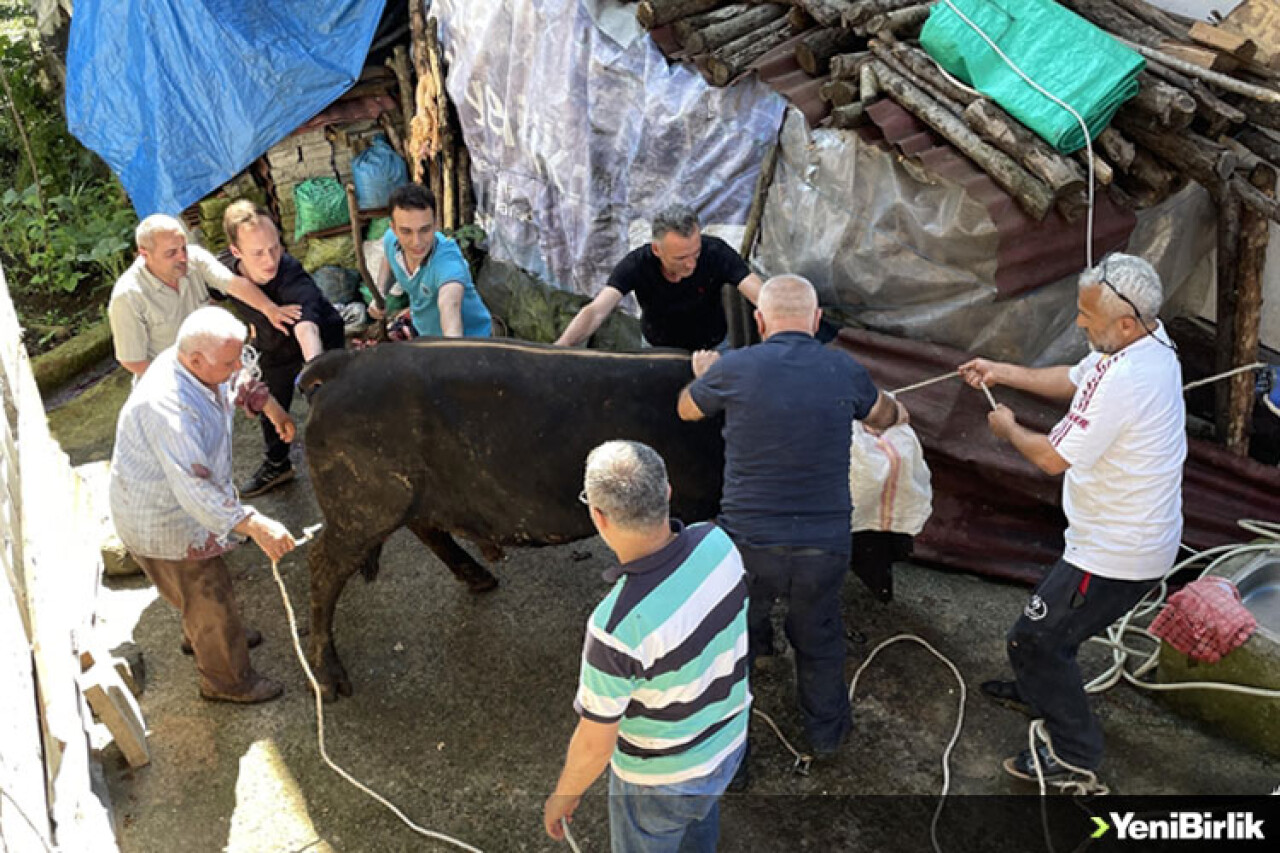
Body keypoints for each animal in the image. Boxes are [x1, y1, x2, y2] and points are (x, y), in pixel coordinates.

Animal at [294, 338, 727, 696]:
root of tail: (345, 361)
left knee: (425, 528)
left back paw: (481, 578)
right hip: (363, 504)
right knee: (323, 565)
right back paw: (331, 682)